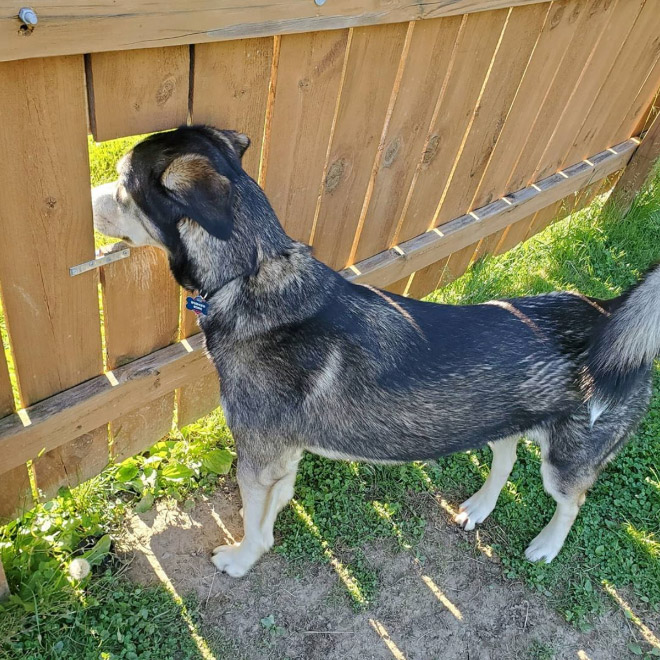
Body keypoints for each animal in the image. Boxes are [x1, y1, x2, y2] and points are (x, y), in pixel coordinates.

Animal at [93, 125, 660, 576]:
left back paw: (547, 544)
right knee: (504, 458)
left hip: (565, 462)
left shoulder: (256, 457)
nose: (87, 200)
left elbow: (254, 523)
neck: (253, 273)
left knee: (572, 502)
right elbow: (275, 508)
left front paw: (241, 560)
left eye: (122, 185)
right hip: (501, 421)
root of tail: (608, 313)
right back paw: (480, 506)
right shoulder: (282, 456)